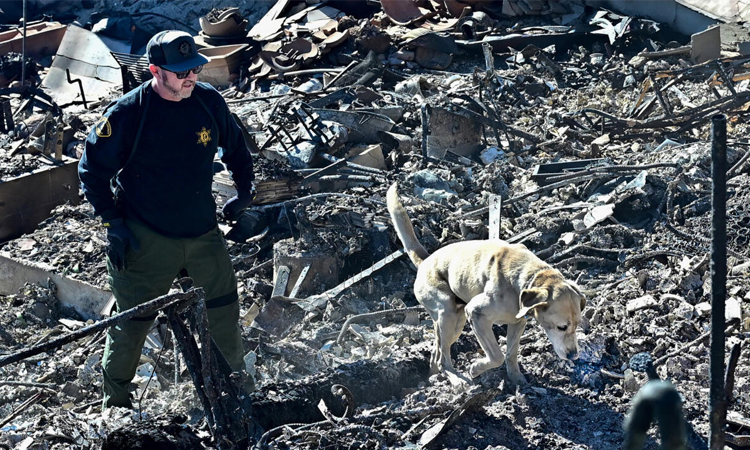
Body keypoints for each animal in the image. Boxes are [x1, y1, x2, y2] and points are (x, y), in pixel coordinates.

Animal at [388, 181, 588, 384]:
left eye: (578, 324)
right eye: (561, 327)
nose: (574, 356)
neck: (526, 278)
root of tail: (424, 261)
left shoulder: (518, 323)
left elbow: (511, 353)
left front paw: (516, 378)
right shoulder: (476, 314)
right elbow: (497, 356)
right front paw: (476, 368)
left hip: (456, 321)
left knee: (436, 354)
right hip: (448, 312)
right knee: (443, 358)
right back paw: (457, 380)